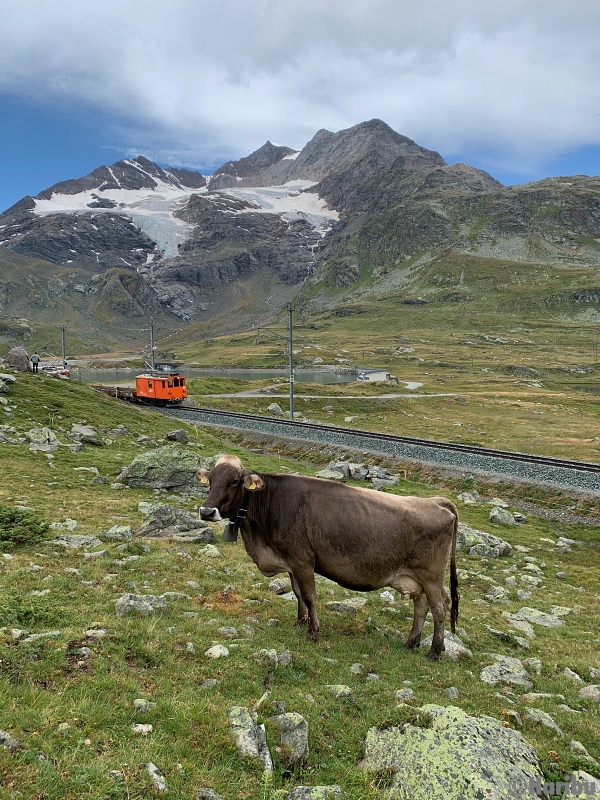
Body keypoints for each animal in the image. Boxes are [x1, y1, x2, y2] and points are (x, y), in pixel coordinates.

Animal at [198, 454, 460, 660]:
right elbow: (297, 594)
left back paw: (435, 651)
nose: (207, 511)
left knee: (439, 607)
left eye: (233, 481)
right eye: (210, 480)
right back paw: (411, 642)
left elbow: (309, 596)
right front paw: (300, 623)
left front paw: (313, 631)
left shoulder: (303, 560)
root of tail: (437, 501)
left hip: (431, 575)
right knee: (422, 606)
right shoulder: (291, 562)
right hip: (416, 578)